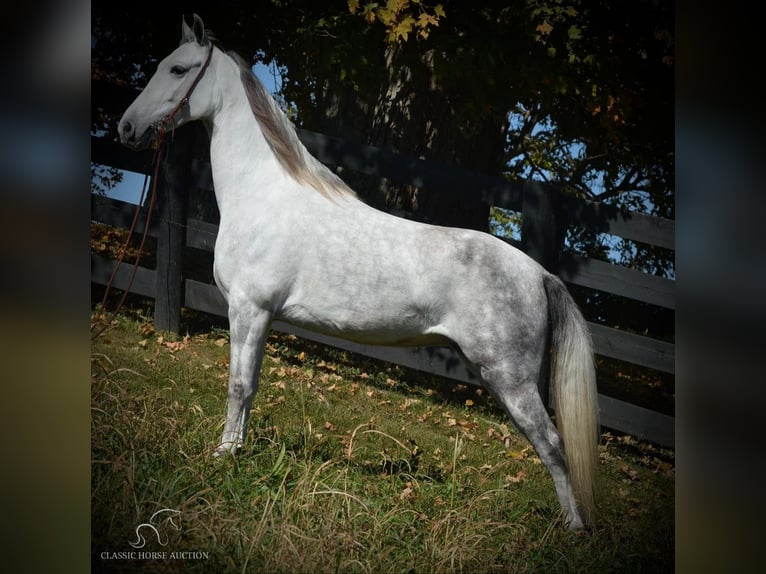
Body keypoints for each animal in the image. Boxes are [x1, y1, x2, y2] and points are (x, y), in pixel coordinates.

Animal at [118, 14, 600, 532]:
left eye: (178, 69)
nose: (126, 127)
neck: (264, 196)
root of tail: (540, 274)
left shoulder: (248, 309)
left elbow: (238, 385)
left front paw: (222, 455)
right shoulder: (261, 318)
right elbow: (251, 387)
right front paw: (238, 449)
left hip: (511, 380)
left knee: (552, 445)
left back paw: (572, 529)